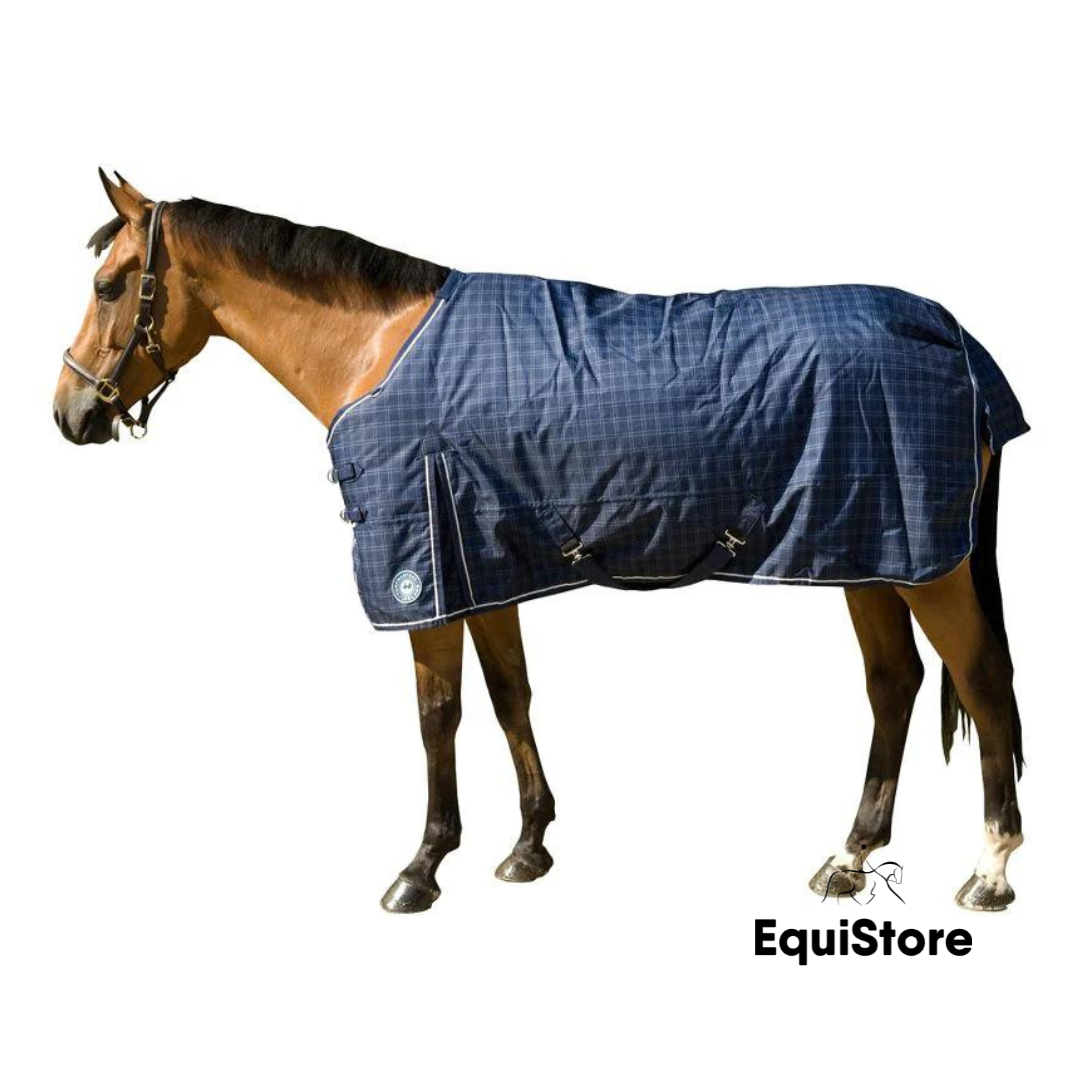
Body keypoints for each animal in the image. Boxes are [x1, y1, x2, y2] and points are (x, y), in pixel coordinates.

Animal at [54, 171, 1027, 913]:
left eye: (109, 285)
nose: (68, 414)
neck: (381, 349)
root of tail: (952, 334)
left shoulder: (424, 575)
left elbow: (437, 714)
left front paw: (422, 866)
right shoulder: (485, 564)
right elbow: (509, 696)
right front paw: (528, 845)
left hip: (925, 567)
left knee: (981, 682)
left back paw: (989, 871)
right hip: (871, 552)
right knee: (894, 685)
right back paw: (849, 857)